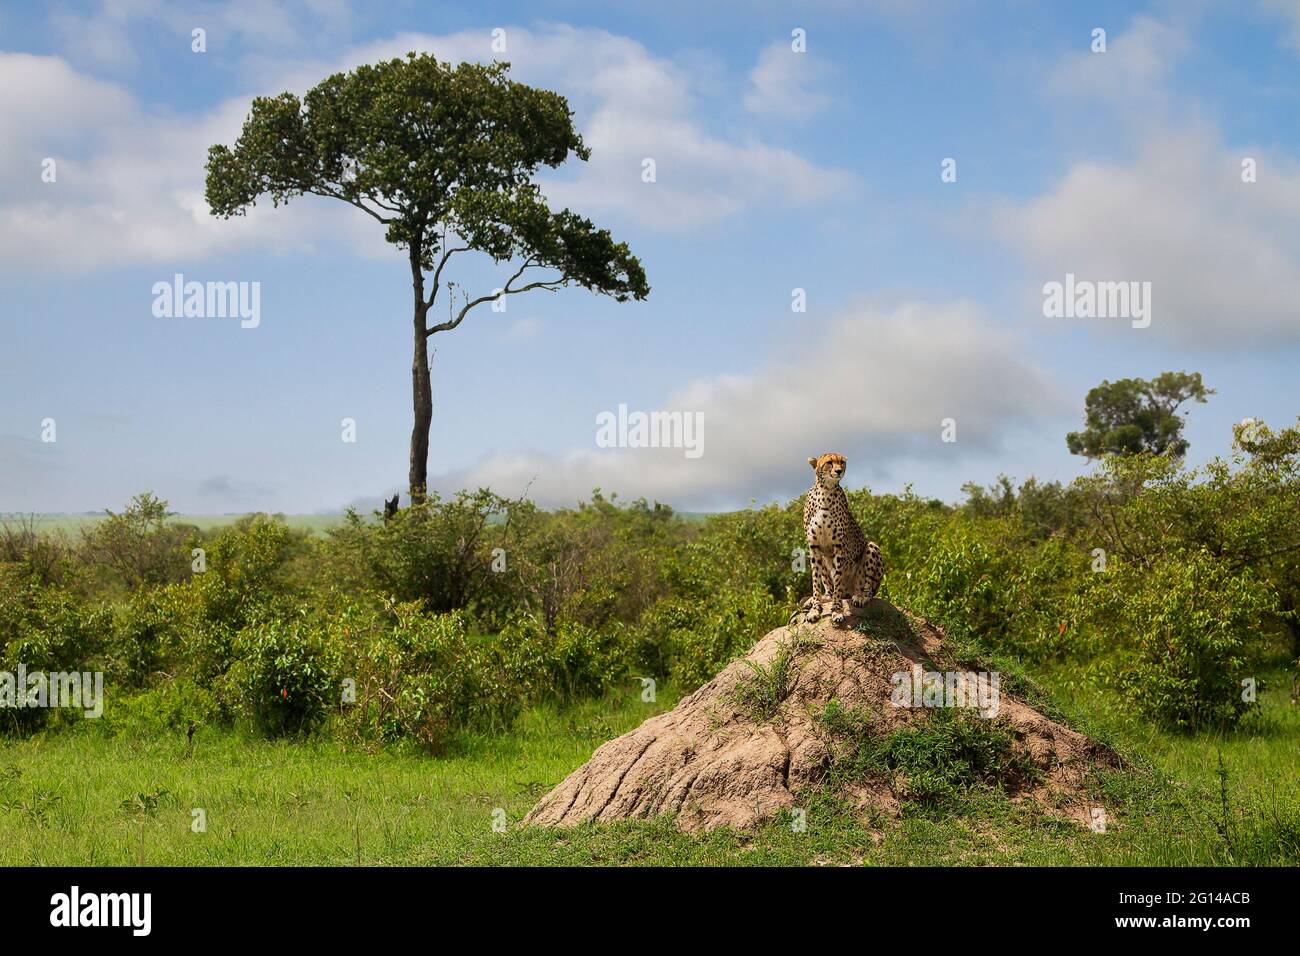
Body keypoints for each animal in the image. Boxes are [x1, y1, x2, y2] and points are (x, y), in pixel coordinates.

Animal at [790, 455, 883, 629]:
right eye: (829, 462)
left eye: (842, 462)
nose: (839, 471)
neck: (825, 490)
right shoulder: (814, 547)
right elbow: (816, 581)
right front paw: (815, 609)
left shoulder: (839, 547)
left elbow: (838, 579)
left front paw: (837, 611)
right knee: (829, 588)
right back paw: (821, 598)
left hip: (872, 548)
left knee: (868, 590)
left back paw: (860, 596)